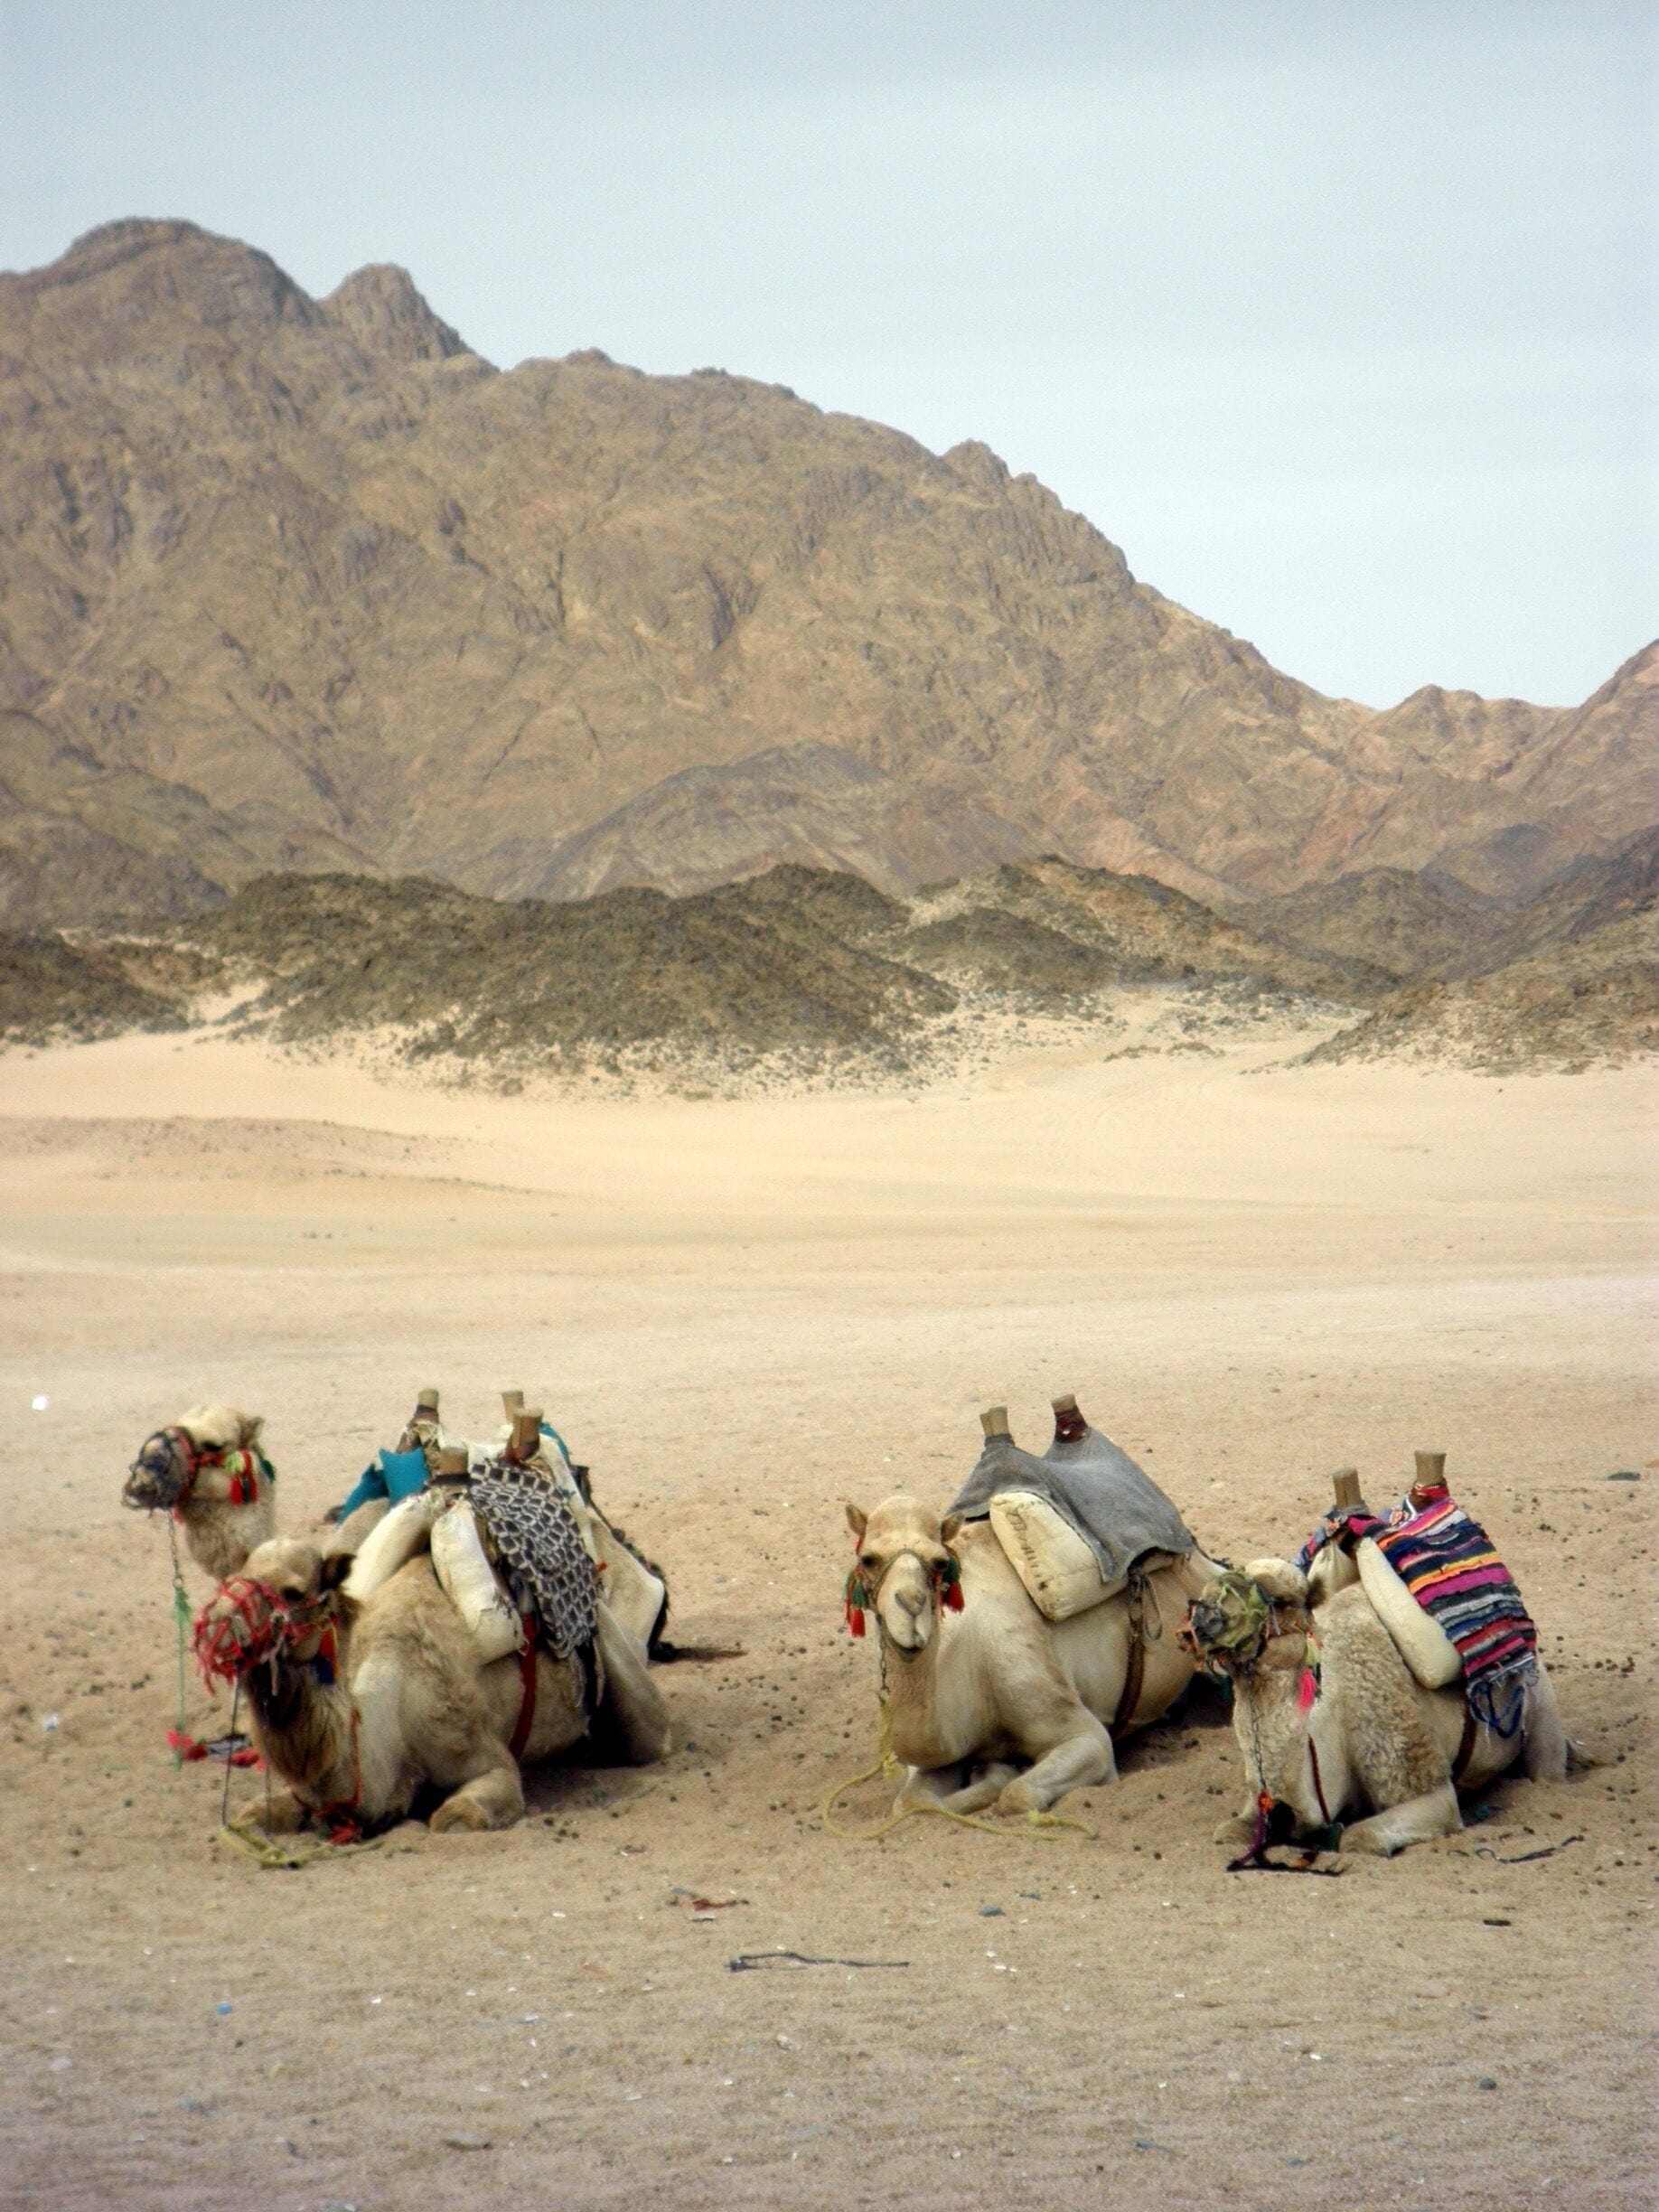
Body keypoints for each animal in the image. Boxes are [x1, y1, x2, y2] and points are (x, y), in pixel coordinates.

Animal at [199, 1532, 671, 1836]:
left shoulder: (482, 1756)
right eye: (233, 1579)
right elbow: (251, 1816)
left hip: (618, 1660)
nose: (217, 1625)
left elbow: (456, 1817)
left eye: (293, 1592)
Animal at [842, 1491, 1226, 1817]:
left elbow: (1017, 1794)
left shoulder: (1083, 1734)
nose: (910, 1604)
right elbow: (912, 1803)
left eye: (939, 1563)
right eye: (868, 1559)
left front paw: (1001, 1773)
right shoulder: (946, 1748)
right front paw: (993, 1770)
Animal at [1185, 1558, 1567, 1857]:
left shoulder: (1424, 1784)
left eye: (1278, 1600)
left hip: (1541, 1707)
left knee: (1547, 1770)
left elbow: (1359, 1837)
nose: (1203, 1614)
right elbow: (1230, 1831)